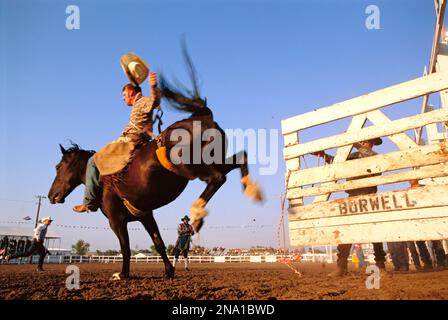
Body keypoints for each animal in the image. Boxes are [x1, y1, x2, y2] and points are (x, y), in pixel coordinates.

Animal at [46, 50, 262, 280]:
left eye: (58, 167)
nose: (52, 196)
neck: (104, 183)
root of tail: (203, 116)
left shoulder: (116, 220)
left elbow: (125, 247)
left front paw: (122, 274)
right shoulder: (146, 216)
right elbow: (158, 242)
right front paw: (169, 271)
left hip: (191, 166)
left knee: (217, 178)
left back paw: (197, 214)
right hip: (214, 160)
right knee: (240, 159)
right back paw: (252, 190)